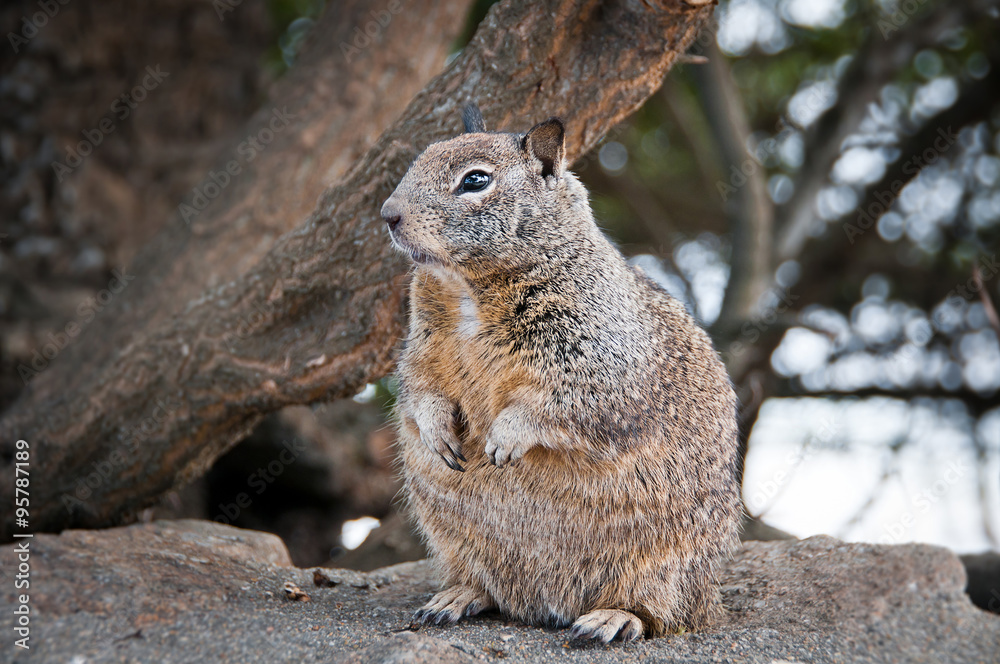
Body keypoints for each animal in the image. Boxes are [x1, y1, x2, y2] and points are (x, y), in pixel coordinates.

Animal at [380, 104, 741, 643]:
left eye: (475, 180)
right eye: (419, 157)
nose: (388, 214)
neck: (466, 287)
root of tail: (545, 607)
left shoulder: (594, 359)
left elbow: (557, 403)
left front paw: (504, 440)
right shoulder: (419, 350)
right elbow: (419, 390)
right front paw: (437, 432)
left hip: (665, 566)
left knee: (659, 613)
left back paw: (610, 618)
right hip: (453, 540)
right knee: (487, 588)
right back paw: (455, 598)